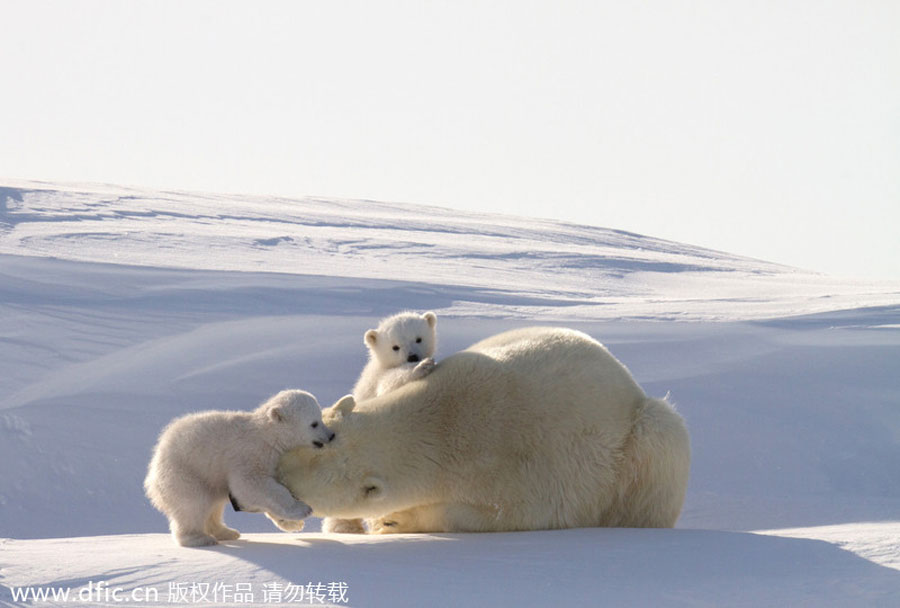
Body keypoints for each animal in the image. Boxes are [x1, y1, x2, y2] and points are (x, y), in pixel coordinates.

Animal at [280, 328, 688, 532]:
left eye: (297, 496)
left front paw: (395, 521)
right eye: (313, 439)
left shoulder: (525, 474)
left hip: (641, 441)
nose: (277, 472)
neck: (446, 420)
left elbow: (497, 515)